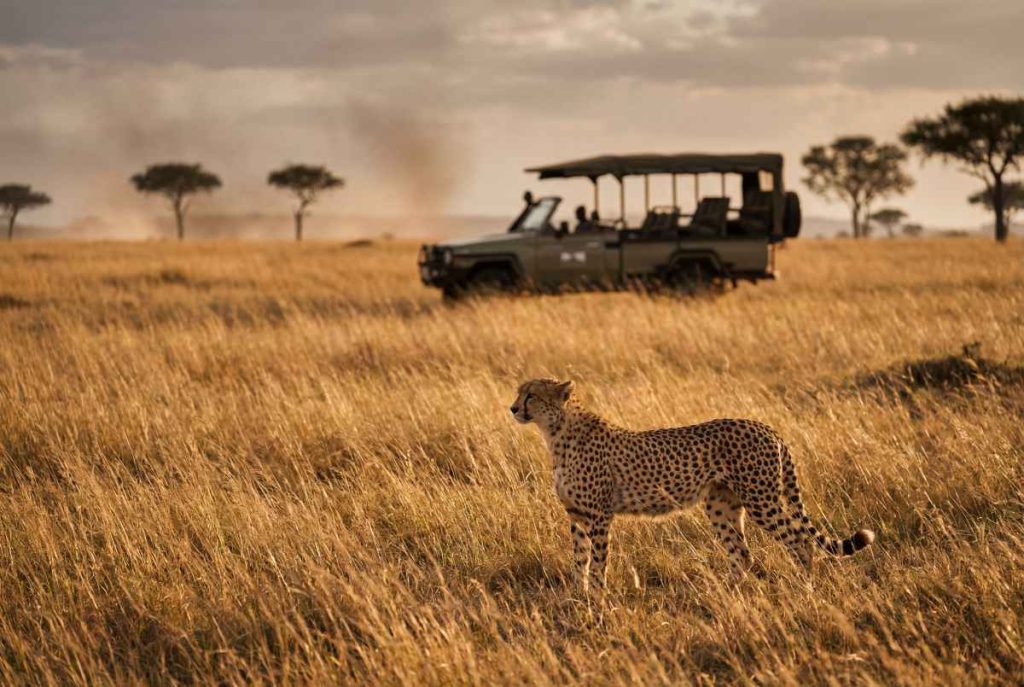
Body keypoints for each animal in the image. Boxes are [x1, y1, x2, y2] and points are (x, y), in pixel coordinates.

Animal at [510, 378, 875, 595]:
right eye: (519, 392)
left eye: (532, 395)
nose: (512, 408)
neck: (556, 433)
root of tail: (767, 427)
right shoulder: (577, 515)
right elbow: (579, 559)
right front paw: (578, 595)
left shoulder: (599, 515)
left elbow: (598, 560)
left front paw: (597, 598)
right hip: (721, 504)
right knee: (742, 553)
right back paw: (726, 593)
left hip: (762, 500)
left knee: (799, 540)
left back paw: (805, 587)